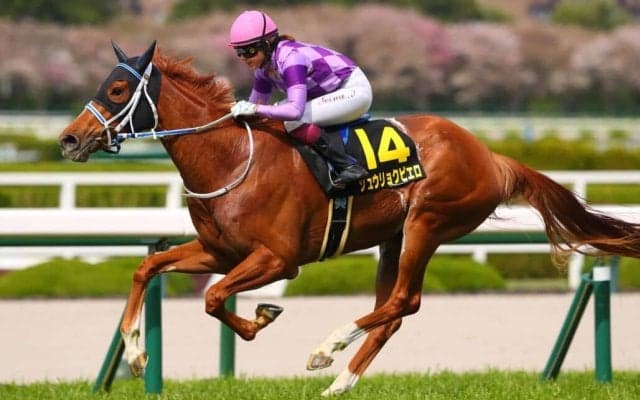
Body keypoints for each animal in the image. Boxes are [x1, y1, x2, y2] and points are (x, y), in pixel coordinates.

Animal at [58, 41, 640, 396]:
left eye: (116, 91)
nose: (67, 139)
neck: (230, 157)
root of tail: (491, 155)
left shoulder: (278, 260)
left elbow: (214, 297)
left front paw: (263, 317)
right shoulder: (221, 251)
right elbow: (148, 269)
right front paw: (136, 354)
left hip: (427, 223)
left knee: (403, 300)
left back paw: (327, 350)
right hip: (392, 238)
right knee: (394, 311)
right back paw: (341, 382)